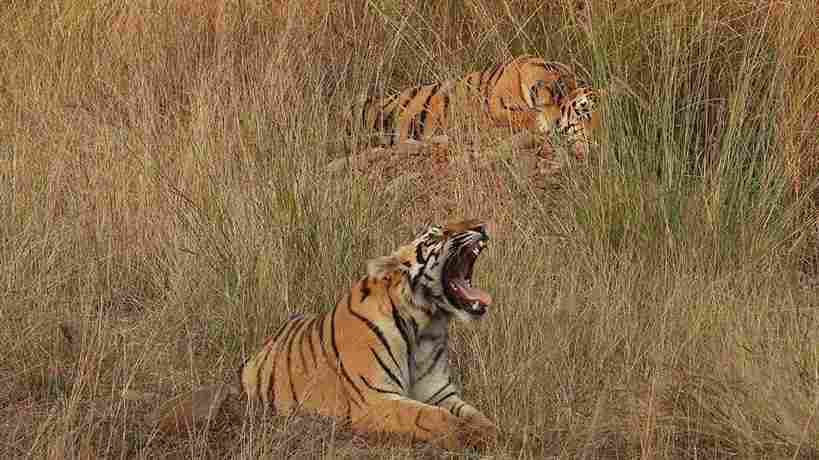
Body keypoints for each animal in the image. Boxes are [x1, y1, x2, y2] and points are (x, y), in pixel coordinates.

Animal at [239, 220, 499, 451]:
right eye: (436, 235)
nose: (481, 225)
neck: (425, 325)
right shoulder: (374, 398)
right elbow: (433, 417)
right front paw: (464, 436)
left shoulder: (439, 392)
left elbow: (476, 416)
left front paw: (492, 433)